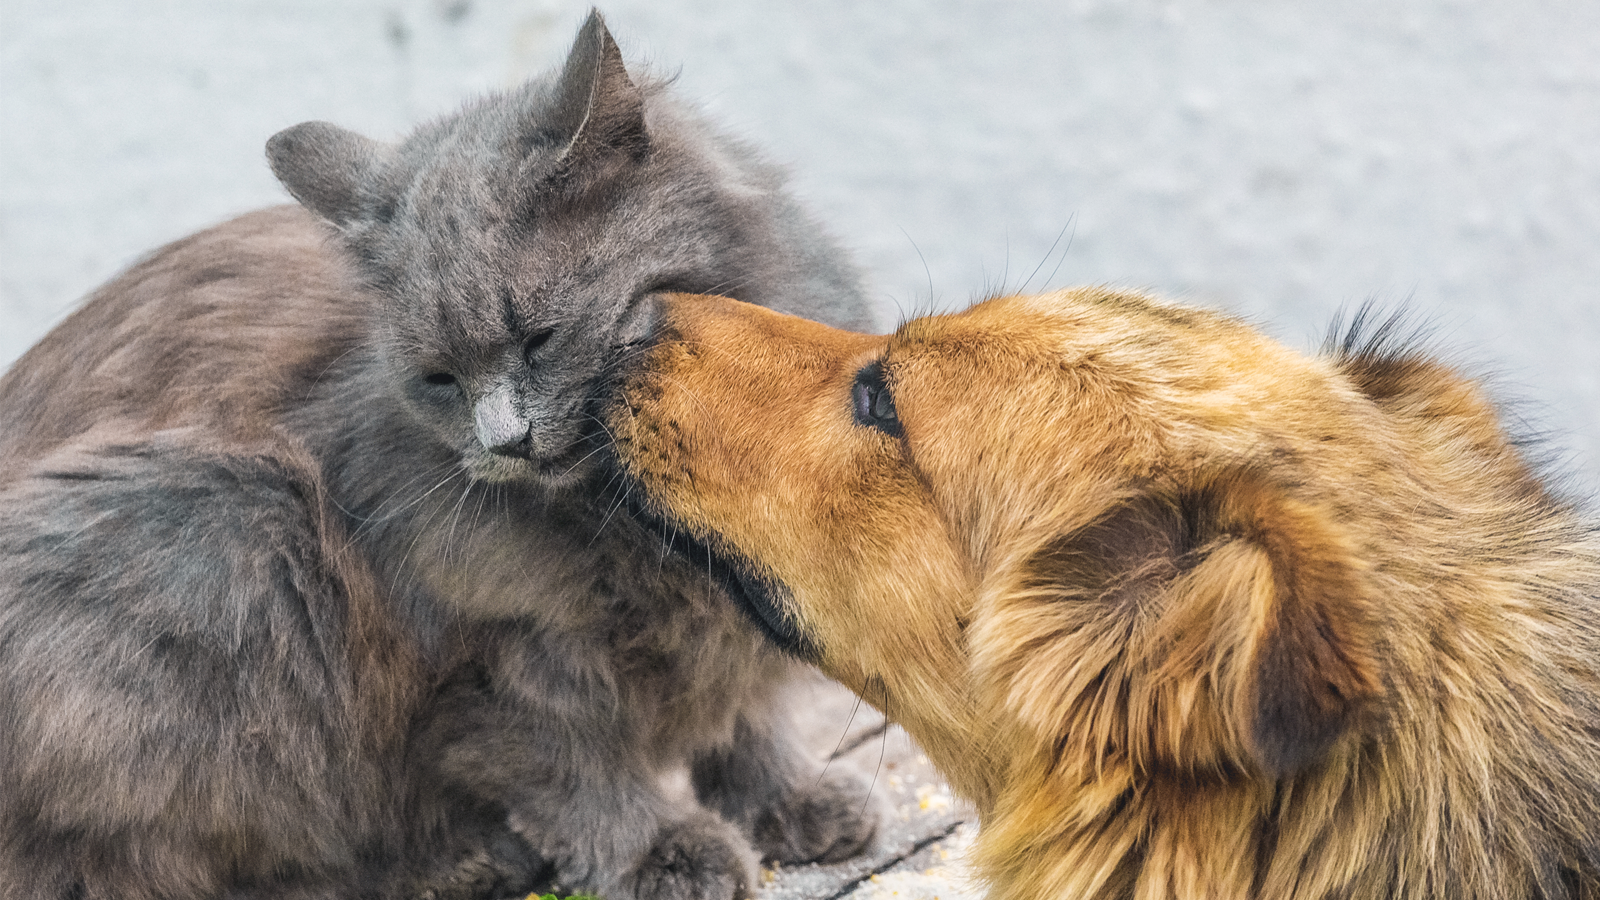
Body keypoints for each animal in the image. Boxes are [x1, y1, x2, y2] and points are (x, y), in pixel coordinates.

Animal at [0, 12, 876, 896]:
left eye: (541, 339)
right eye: (439, 379)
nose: (503, 441)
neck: (631, 505)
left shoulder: (739, 616)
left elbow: (747, 719)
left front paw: (791, 801)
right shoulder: (489, 657)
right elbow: (578, 773)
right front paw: (660, 851)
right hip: (227, 529)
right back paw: (462, 862)